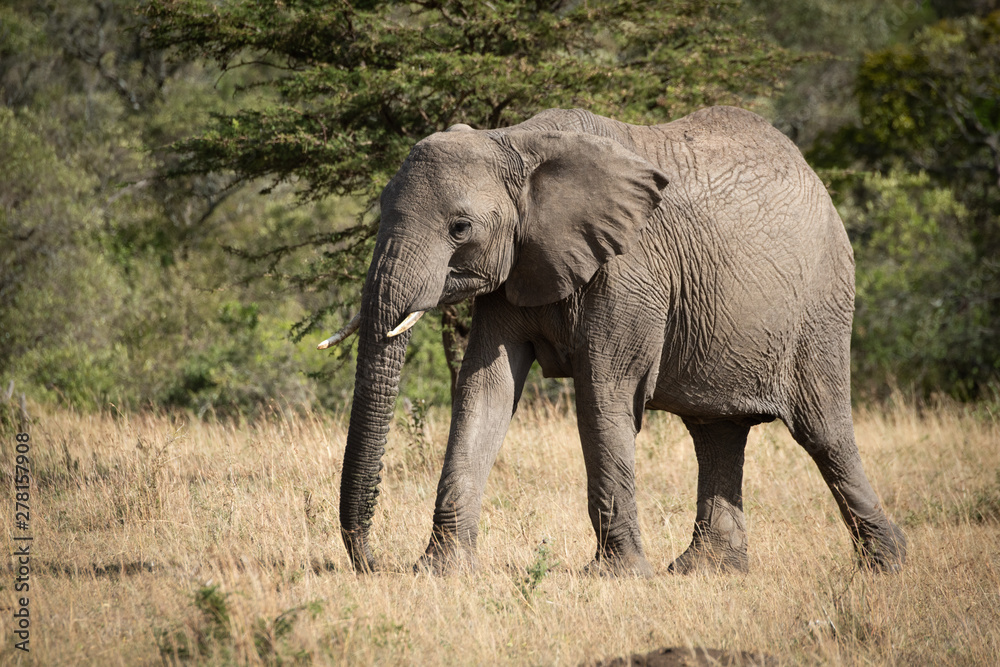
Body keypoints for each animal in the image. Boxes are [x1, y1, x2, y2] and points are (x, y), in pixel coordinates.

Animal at [318, 107, 908, 576]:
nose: (373, 564)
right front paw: (439, 572)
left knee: (822, 430)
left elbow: (602, 392)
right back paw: (706, 572)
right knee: (716, 433)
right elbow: (484, 391)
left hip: (822, 301)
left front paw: (617, 576)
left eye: (460, 228)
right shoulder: (517, 266)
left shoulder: (629, 270)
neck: (516, 142)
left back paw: (888, 564)